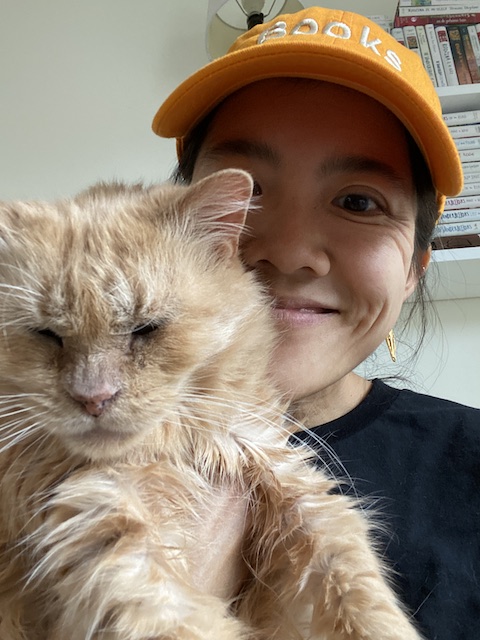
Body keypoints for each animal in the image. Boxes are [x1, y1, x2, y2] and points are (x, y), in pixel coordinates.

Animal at [0, 170, 422, 640]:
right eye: (47, 334)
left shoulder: (292, 489)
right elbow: (174, 618)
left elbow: (357, 590)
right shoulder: (107, 530)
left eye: (146, 329)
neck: (171, 451)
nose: (94, 397)